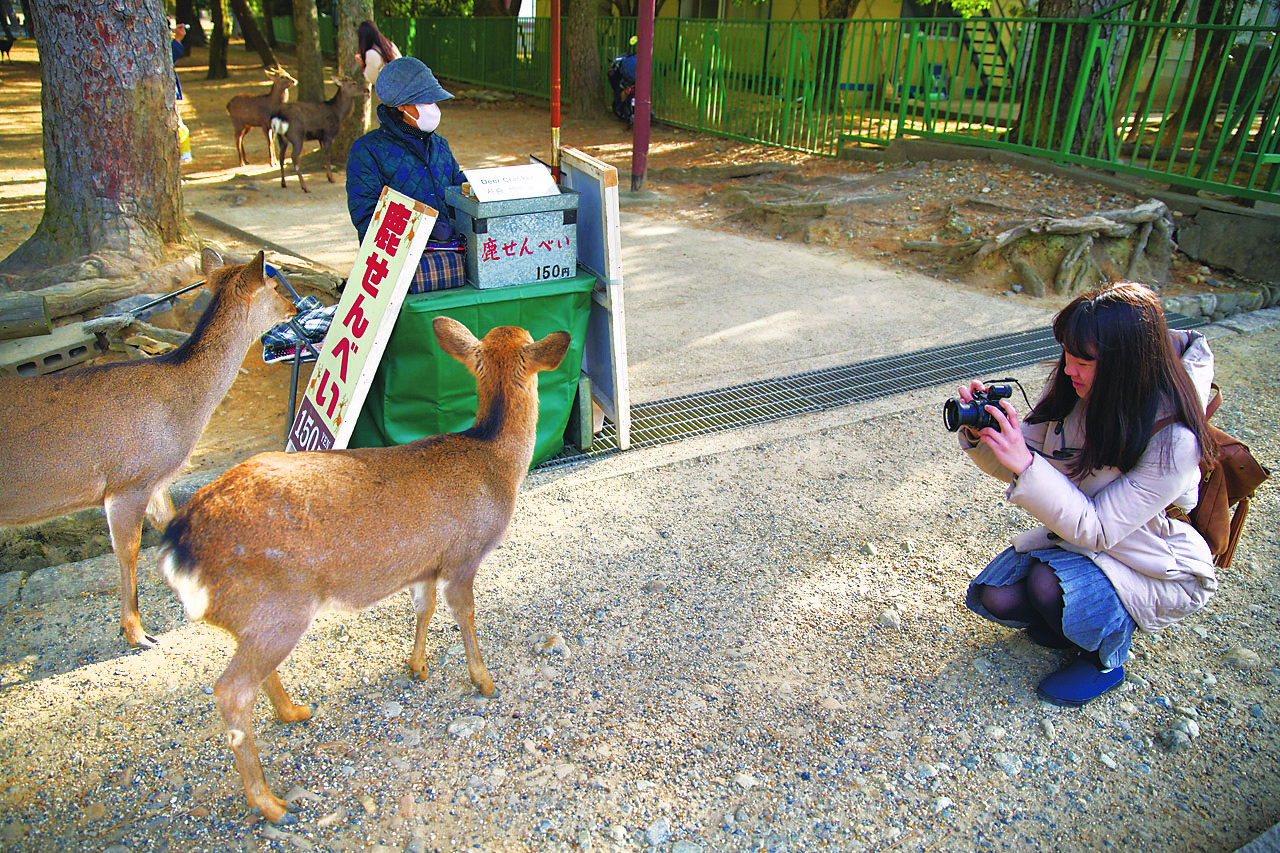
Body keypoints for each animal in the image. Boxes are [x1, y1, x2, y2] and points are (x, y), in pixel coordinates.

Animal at [0, 249, 293, 648]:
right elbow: (129, 550)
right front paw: (137, 632)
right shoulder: (127, 481)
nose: (294, 306)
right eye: (275, 286)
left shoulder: (156, 481)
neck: (183, 414)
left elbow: (173, 527)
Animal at [157, 315, 568, 819]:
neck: (496, 462)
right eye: (526, 335)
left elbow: (424, 608)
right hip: (278, 606)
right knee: (230, 690)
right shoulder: (463, 555)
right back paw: (272, 803)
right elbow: (465, 615)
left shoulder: (424, 564)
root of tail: (179, 544)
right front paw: (485, 681)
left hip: (253, 615)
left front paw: (417, 667)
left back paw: (295, 712)